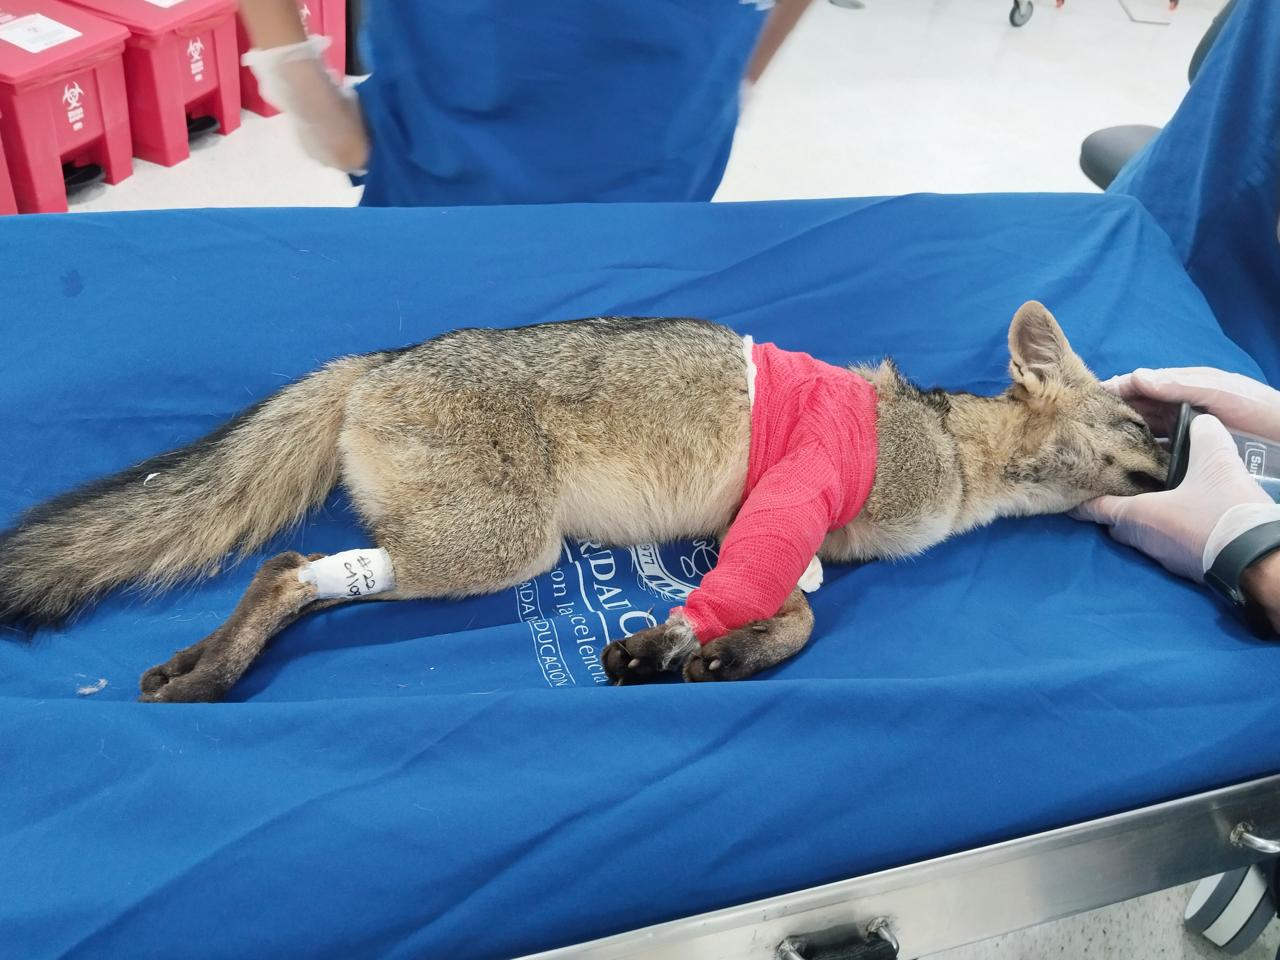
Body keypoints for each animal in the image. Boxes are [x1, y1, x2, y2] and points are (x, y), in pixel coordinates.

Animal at [0, 301, 1166, 702]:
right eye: (1135, 424)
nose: (1182, 445)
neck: (952, 449)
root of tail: (376, 359)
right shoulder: (791, 495)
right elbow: (779, 607)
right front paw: (673, 646)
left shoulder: (769, 534)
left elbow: (791, 609)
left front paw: (724, 653)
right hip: (504, 548)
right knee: (287, 568)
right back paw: (215, 672)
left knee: (293, 571)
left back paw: (197, 666)